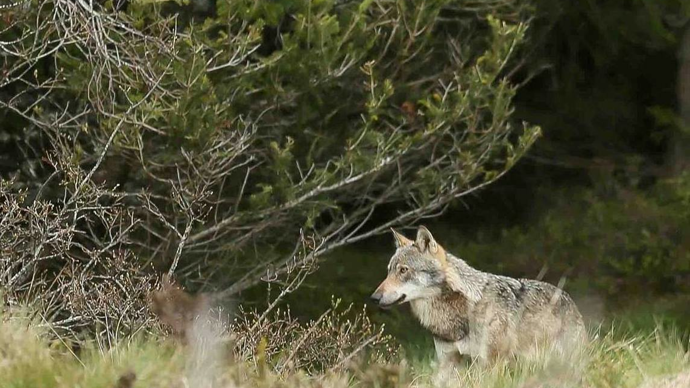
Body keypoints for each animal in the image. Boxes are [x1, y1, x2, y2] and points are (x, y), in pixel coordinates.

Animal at [368, 227, 584, 372]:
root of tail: (567, 297)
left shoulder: (491, 363)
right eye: (389, 271)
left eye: (403, 270)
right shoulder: (448, 361)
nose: (374, 298)